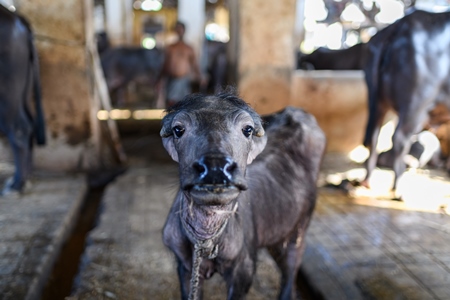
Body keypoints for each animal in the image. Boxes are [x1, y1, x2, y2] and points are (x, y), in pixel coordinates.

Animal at [160, 91, 326, 300]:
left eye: (247, 129)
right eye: (178, 129)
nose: (215, 168)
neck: (207, 238)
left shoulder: (244, 269)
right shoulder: (184, 266)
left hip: (301, 225)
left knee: (291, 262)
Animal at [362, 9, 450, 195]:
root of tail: (399, 26)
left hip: (379, 102)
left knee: (374, 137)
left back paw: (366, 181)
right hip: (416, 105)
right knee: (400, 139)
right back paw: (398, 188)